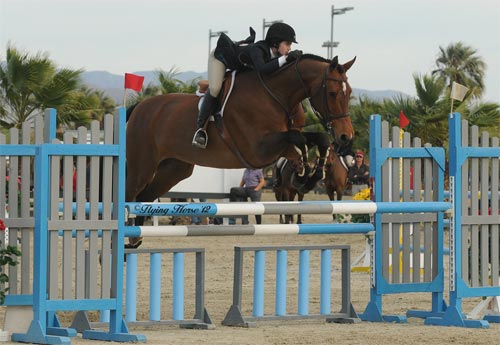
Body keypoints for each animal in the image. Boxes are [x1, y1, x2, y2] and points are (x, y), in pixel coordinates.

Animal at [127, 54, 358, 245]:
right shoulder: (259, 150)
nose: (346, 136)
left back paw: (135, 238)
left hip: (175, 168)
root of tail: (139, 107)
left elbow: (318, 138)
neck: (277, 95)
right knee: (131, 193)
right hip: (142, 166)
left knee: (144, 196)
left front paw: (311, 175)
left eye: (349, 93)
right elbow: (297, 140)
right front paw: (302, 175)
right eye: (332, 93)